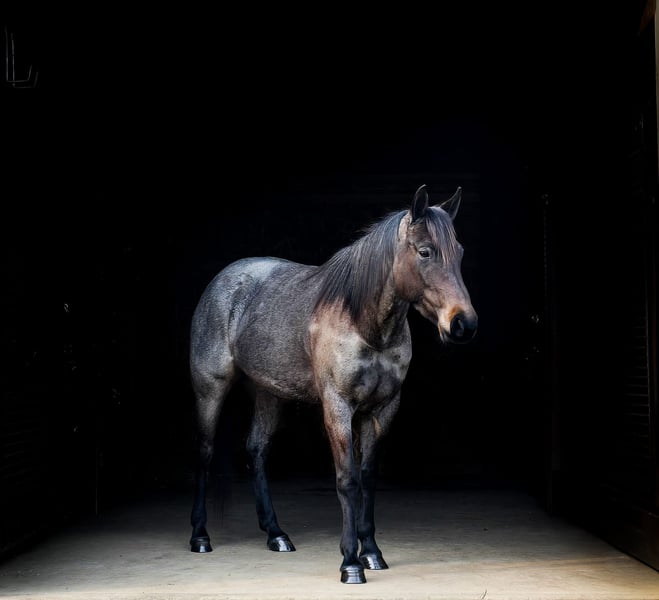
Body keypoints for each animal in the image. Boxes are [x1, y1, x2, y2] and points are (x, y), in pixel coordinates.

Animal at [188, 184, 478, 584]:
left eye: (460, 252)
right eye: (425, 252)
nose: (463, 323)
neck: (364, 323)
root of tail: (222, 282)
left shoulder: (382, 409)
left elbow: (368, 478)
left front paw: (372, 553)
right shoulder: (338, 407)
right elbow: (347, 480)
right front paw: (350, 563)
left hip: (269, 393)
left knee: (256, 450)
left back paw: (276, 535)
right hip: (211, 389)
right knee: (204, 451)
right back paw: (200, 536)